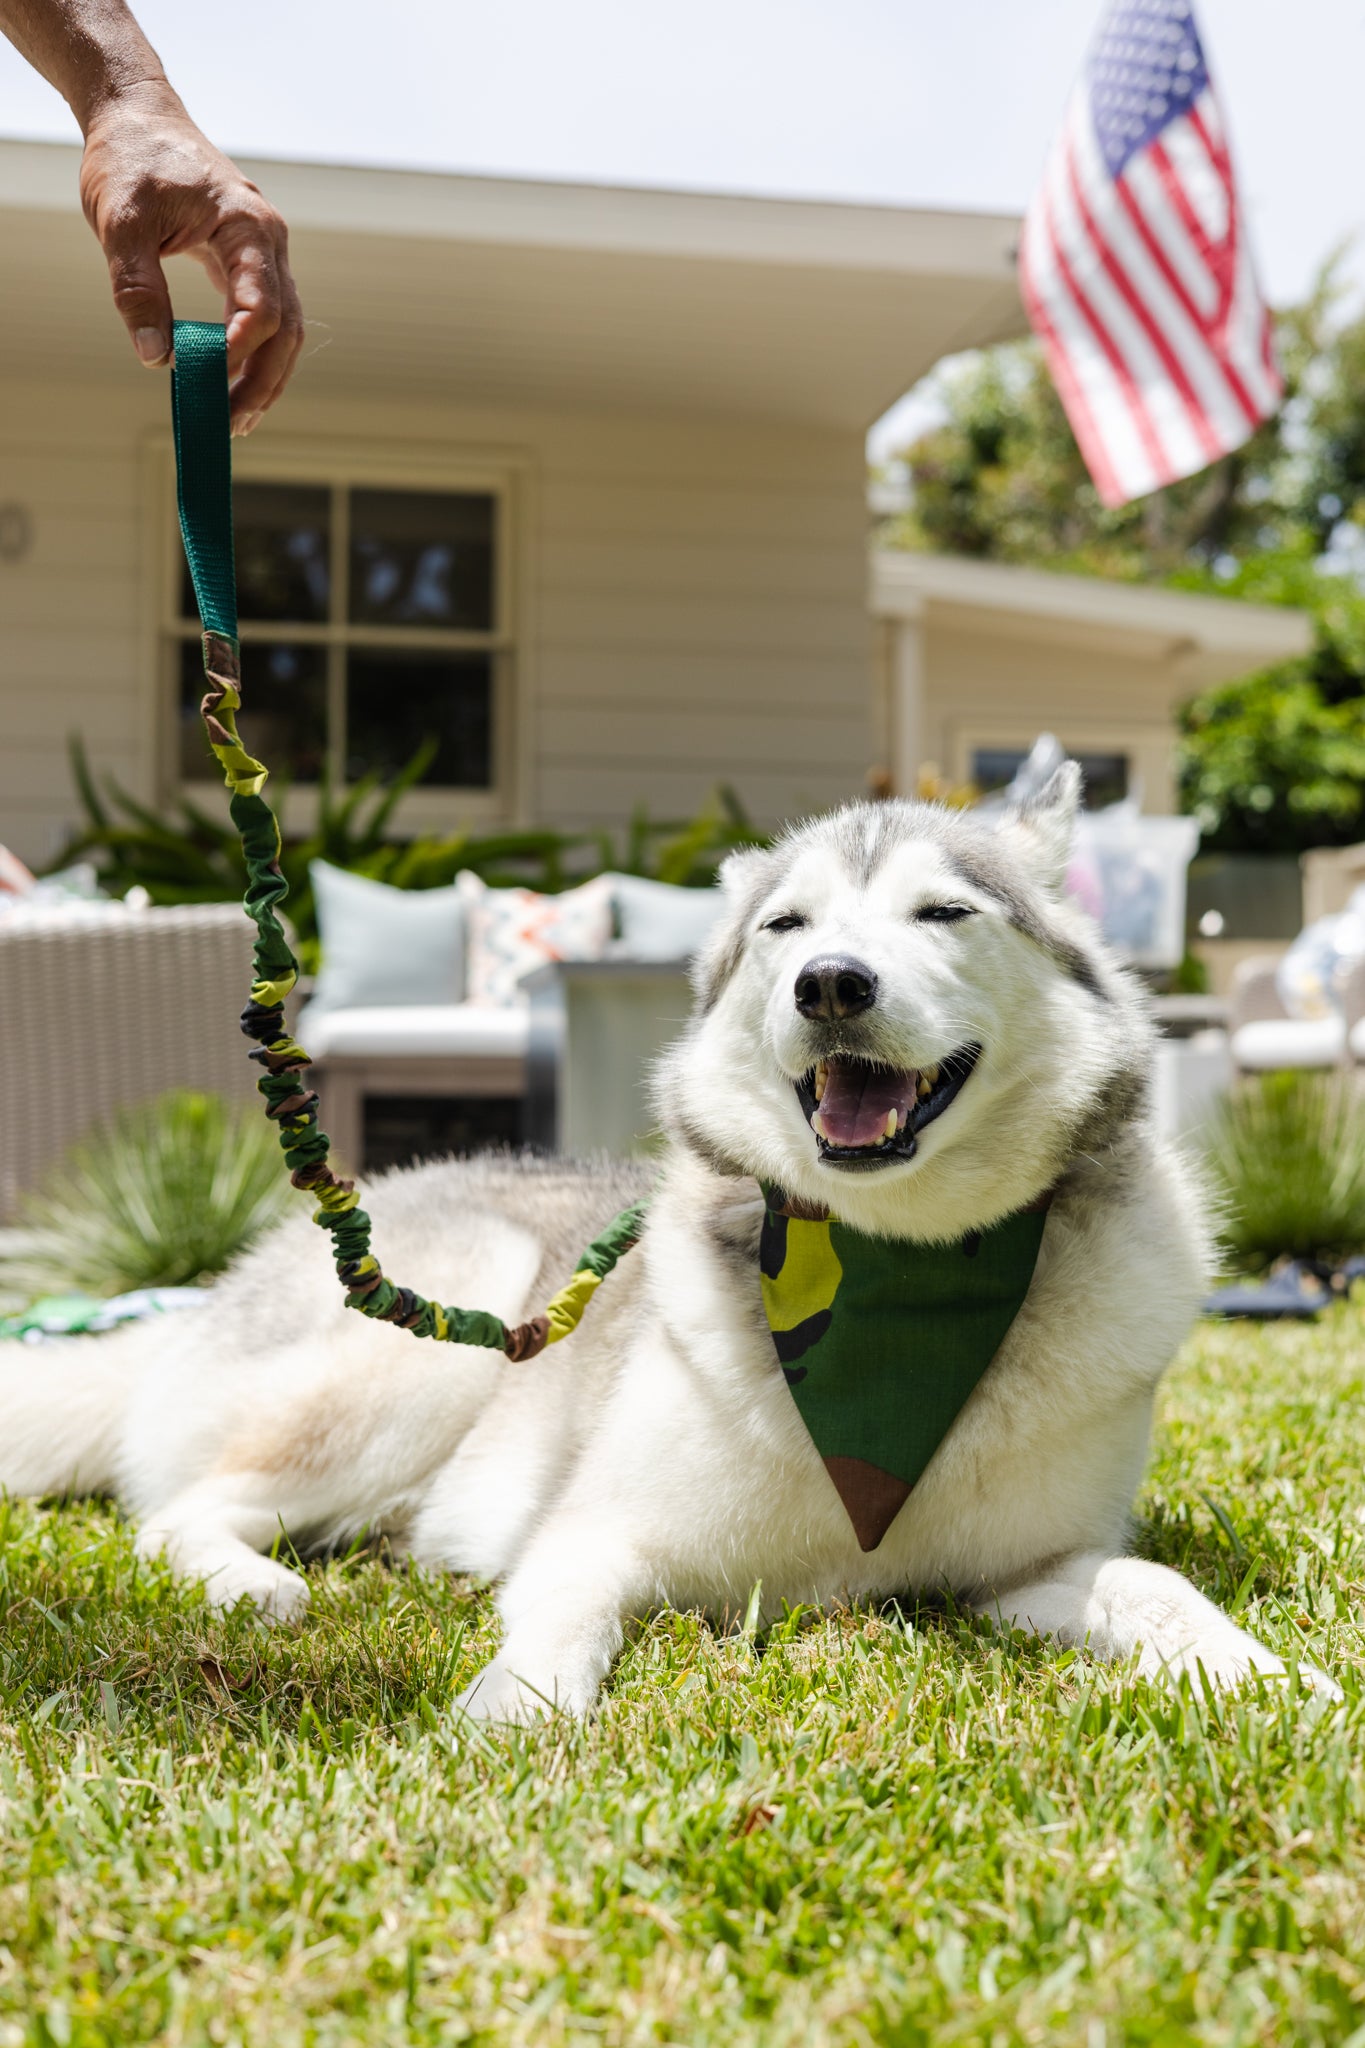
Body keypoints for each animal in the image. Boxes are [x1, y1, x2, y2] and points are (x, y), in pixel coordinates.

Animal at [0, 770, 1326, 1712]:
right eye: (787, 925)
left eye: (945, 910)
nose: (830, 983)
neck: (894, 1272)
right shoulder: (597, 1532)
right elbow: (562, 1619)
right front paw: (509, 1709)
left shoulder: (1032, 1566)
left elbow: (1154, 1582)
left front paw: (1266, 1676)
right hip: (440, 1329)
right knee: (177, 1507)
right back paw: (255, 1582)